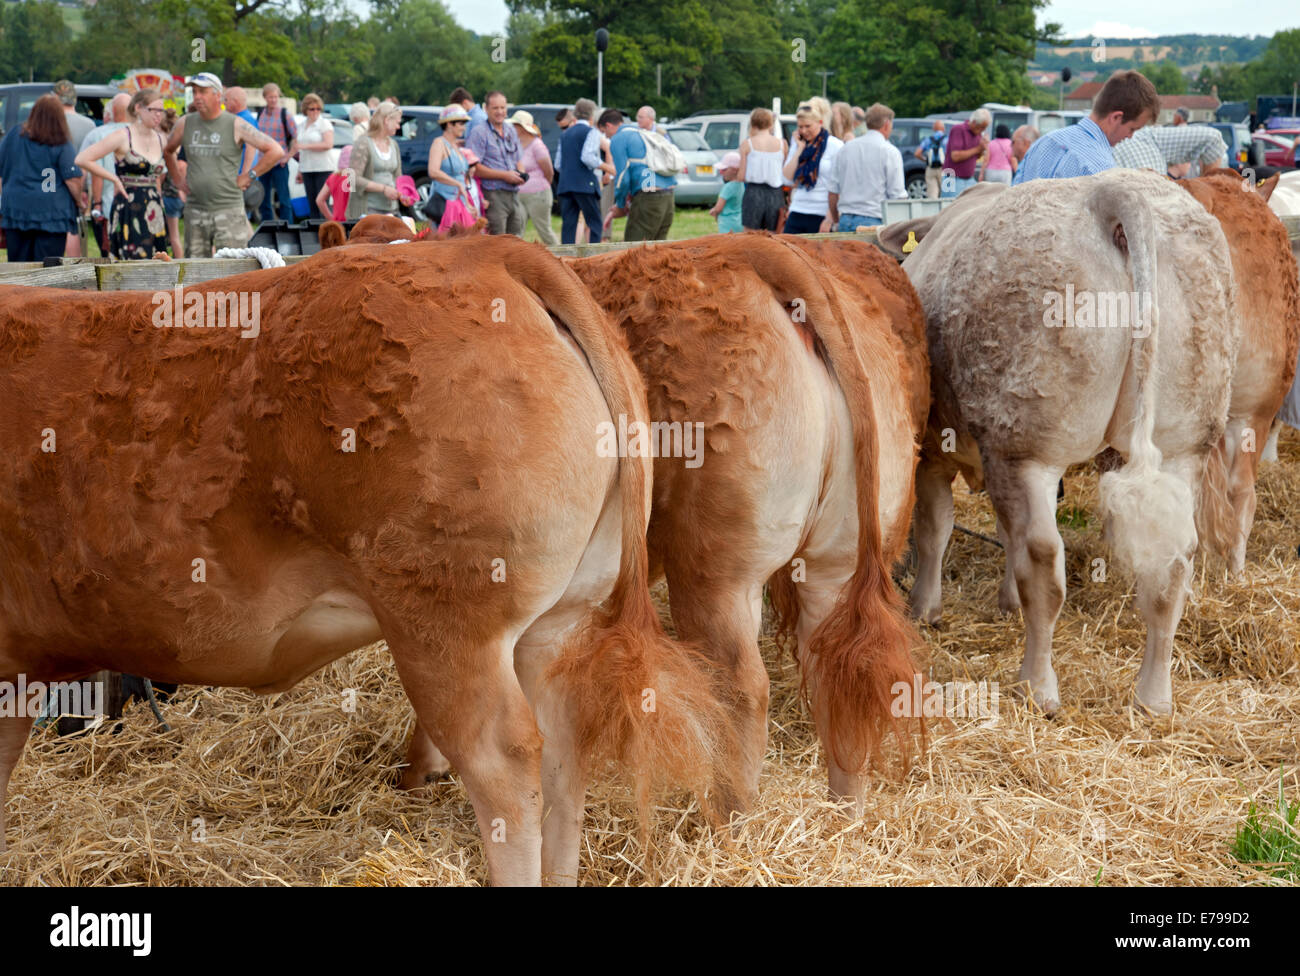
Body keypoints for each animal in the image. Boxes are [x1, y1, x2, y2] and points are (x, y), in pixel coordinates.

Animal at [883, 168, 1238, 714]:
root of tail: (1111, 194)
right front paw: (1004, 602)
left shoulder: (935, 446)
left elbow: (935, 527)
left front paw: (924, 607)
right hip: (1185, 442)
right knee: (1173, 565)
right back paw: (1154, 697)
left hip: (1027, 444)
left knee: (1044, 561)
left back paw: (1037, 684)